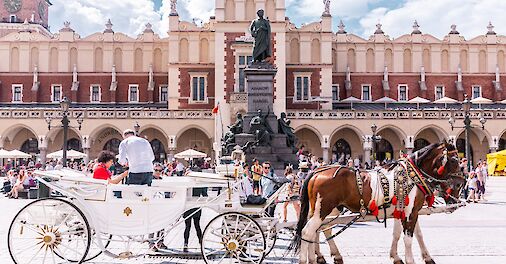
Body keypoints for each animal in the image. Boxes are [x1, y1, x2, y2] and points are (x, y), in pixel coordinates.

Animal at [290, 143, 464, 262]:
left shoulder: (404, 211)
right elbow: (408, 238)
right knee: (308, 232)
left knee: (316, 231)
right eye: (454, 161)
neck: (412, 176)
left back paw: (318, 258)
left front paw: (402, 257)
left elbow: (407, 234)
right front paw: (409, 260)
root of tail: (316, 172)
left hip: (323, 210)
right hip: (323, 209)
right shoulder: (410, 212)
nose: (461, 184)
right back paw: (308, 260)